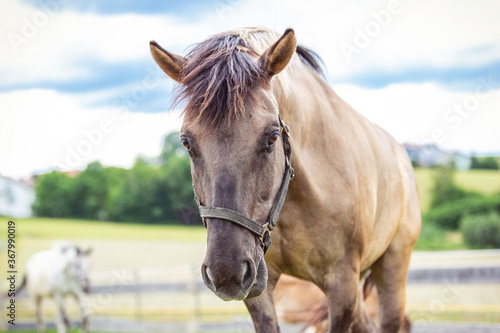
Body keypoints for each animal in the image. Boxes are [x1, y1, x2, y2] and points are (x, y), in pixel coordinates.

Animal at [150, 26, 420, 332]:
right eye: (186, 143)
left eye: (272, 137)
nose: (226, 272)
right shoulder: (260, 289)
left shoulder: (342, 287)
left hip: (392, 269)